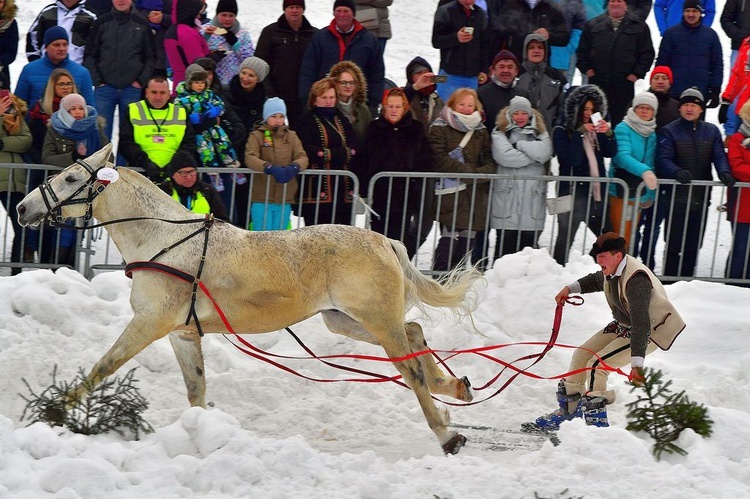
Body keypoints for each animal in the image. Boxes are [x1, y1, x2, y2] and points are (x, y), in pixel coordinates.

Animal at [19, 146, 488, 458]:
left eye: (71, 180)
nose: (23, 208)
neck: (162, 239)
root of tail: (386, 241)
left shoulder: (150, 323)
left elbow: (104, 366)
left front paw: (54, 411)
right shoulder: (181, 333)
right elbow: (196, 389)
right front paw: (202, 433)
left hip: (376, 319)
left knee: (410, 368)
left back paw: (446, 434)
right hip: (344, 319)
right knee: (415, 333)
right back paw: (455, 388)